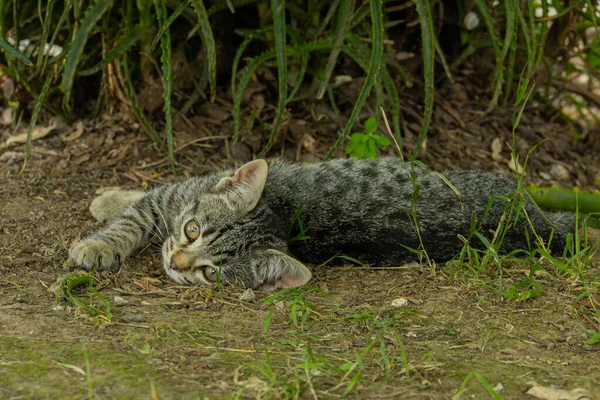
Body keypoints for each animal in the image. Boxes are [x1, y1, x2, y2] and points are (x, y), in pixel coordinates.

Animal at [69, 157, 576, 290]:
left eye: (209, 272)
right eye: (192, 230)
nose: (176, 262)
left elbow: (137, 213)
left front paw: (100, 227)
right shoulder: (175, 197)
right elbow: (140, 211)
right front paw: (108, 210)